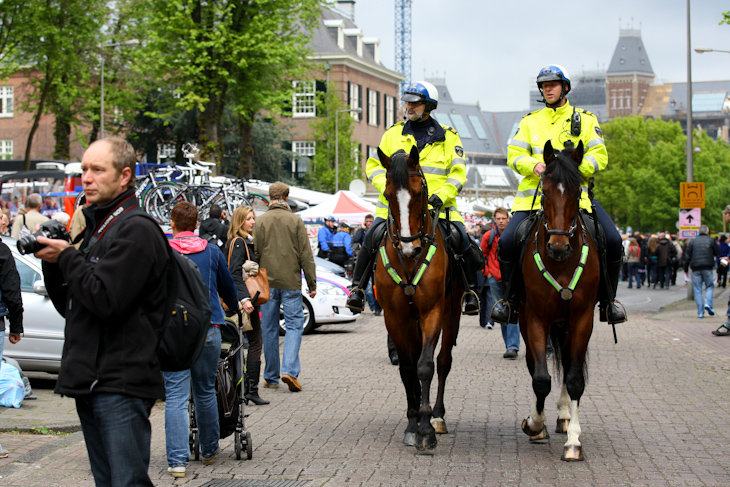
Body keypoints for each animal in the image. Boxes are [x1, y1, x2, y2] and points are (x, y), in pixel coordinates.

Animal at [372, 146, 464, 454]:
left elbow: (425, 366)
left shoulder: (432, 313)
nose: (409, 247)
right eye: (387, 194)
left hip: (451, 315)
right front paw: (412, 424)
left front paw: (425, 429)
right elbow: (407, 368)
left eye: (420, 192)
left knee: (444, 362)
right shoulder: (395, 318)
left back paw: (437, 416)